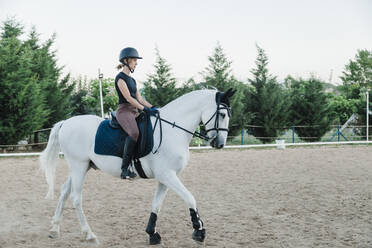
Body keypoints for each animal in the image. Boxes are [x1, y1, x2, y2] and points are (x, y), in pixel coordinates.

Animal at [40, 88, 235, 245]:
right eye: (222, 115)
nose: (220, 144)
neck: (172, 130)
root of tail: (66, 122)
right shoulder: (168, 175)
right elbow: (190, 198)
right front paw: (199, 231)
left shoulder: (165, 178)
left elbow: (157, 205)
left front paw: (152, 234)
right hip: (78, 166)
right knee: (76, 197)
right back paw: (89, 235)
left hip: (81, 167)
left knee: (65, 191)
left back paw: (54, 229)